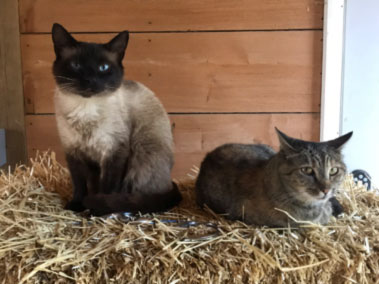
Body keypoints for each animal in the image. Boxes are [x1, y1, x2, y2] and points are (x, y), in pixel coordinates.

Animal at [51, 23, 181, 215]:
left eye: (103, 67)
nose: (90, 81)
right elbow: (80, 184)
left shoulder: (114, 152)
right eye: (76, 65)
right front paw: (77, 205)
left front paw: (97, 209)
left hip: (141, 153)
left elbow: (107, 187)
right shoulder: (74, 152)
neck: (85, 109)